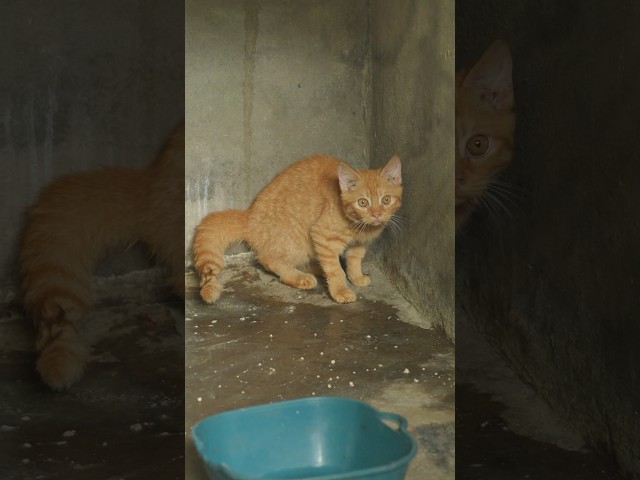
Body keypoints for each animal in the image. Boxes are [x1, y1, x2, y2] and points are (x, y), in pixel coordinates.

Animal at [192, 154, 402, 304]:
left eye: (386, 200)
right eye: (363, 202)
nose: (377, 214)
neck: (358, 226)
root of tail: (249, 216)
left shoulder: (358, 244)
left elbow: (354, 261)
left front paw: (356, 277)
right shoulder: (322, 236)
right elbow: (335, 269)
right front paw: (340, 290)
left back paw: (315, 268)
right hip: (296, 241)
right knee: (268, 259)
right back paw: (298, 276)